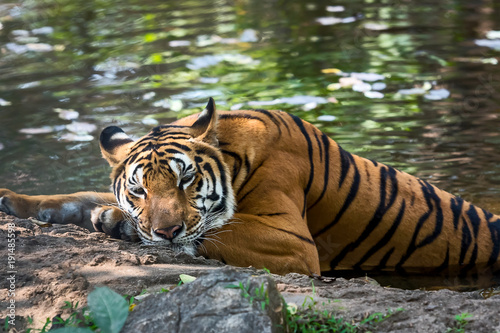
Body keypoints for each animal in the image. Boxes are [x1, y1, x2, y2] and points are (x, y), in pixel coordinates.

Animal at [0, 98, 500, 278]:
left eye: (186, 179)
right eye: (139, 190)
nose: (165, 232)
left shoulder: (296, 244)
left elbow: (217, 232)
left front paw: (117, 223)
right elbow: (74, 197)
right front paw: (13, 200)